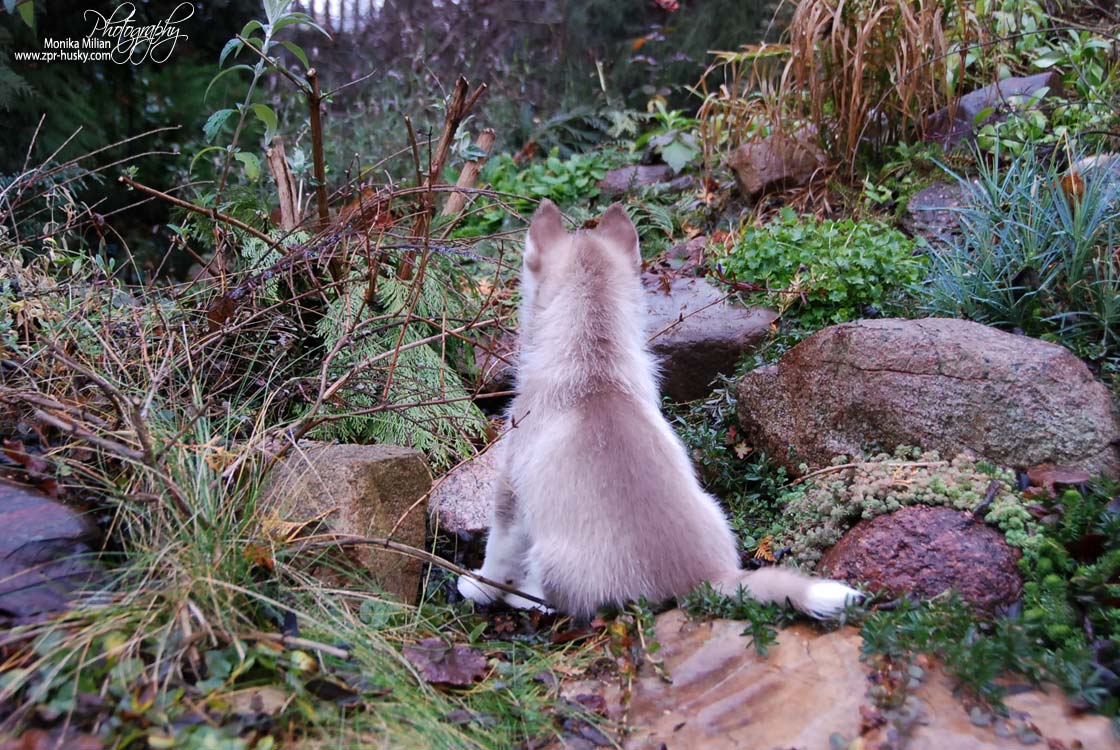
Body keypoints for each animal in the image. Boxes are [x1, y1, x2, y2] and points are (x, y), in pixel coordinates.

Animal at [458, 200, 861, 619]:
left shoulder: (511, 491)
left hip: (553, 558)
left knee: (557, 601)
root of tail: (703, 577)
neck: (592, 358)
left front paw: (478, 585)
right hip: (714, 509)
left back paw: (524, 595)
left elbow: (497, 551)